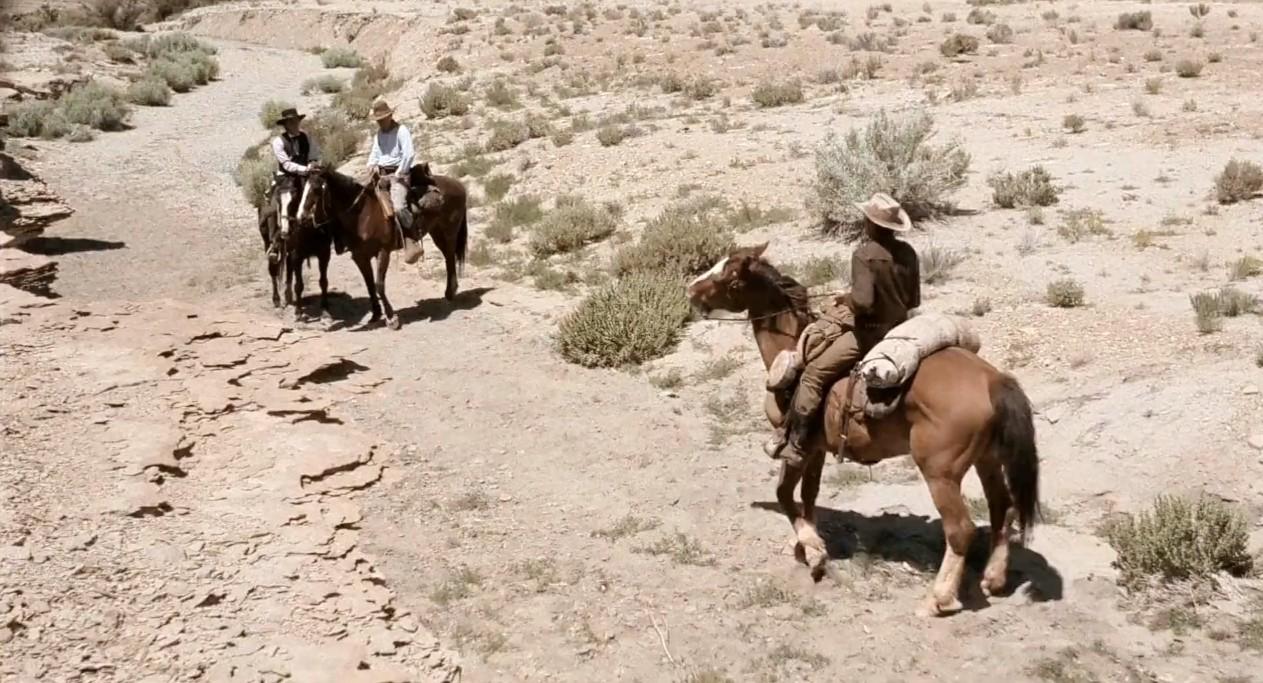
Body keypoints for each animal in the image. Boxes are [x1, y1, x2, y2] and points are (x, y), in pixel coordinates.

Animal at [296, 162, 469, 328]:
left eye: (316, 189)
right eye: (303, 188)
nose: (301, 218)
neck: (362, 215)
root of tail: (459, 184)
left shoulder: (383, 251)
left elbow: (379, 284)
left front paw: (391, 318)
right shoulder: (359, 256)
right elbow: (369, 284)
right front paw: (376, 314)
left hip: (449, 231)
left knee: (450, 256)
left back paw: (450, 292)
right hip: (436, 232)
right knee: (448, 256)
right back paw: (450, 291)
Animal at [687, 242, 1040, 616]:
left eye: (730, 277)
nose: (691, 291)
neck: (791, 348)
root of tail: (993, 379)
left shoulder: (797, 448)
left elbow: (784, 494)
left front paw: (813, 551)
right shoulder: (816, 450)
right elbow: (808, 497)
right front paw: (808, 546)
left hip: (940, 473)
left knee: (961, 530)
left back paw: (939, 600)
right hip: (987, 460)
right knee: (1003, 507)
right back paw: (993, 578)